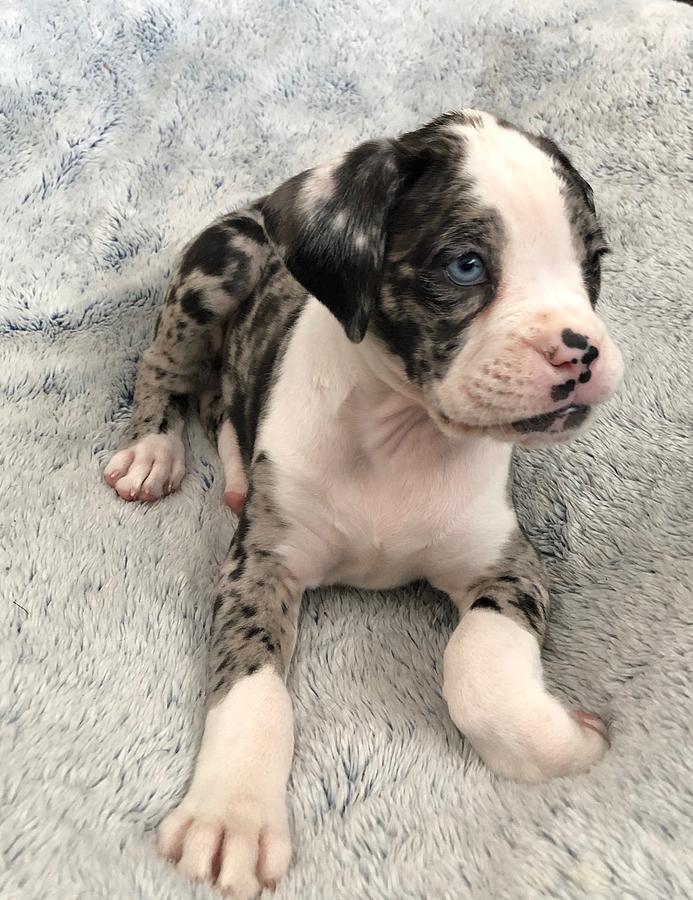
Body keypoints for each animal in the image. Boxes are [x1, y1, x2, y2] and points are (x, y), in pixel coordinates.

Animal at [105, 109, 624, 896]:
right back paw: (152, 450)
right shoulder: (257, 573)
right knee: (166, 365)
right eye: (464, 265)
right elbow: (252, 687)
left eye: (593, 259)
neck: (399, 432)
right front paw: (232, 813)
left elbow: (479, 669)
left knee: (221, 400)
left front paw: (560, 744)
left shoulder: (509, 566)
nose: (581, 352)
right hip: (218, 267)